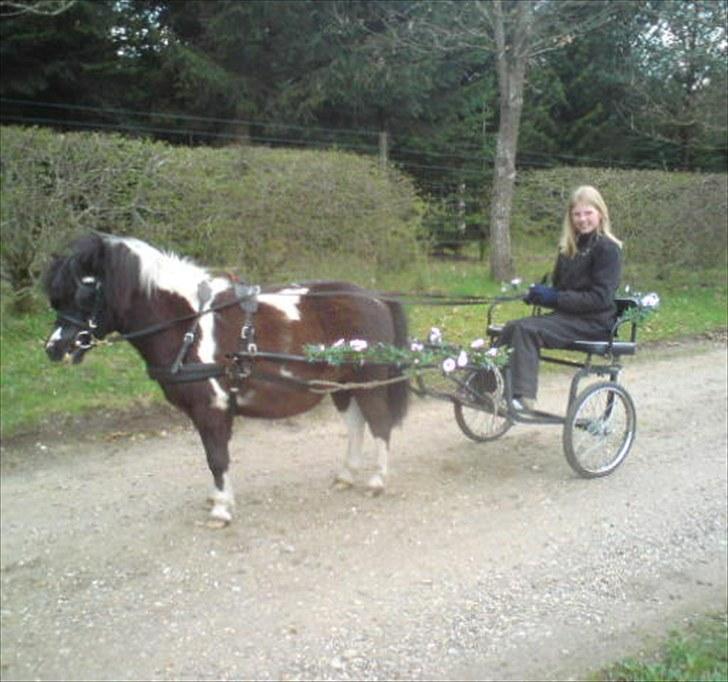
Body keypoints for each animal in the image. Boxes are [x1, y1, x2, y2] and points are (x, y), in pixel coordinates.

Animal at [44, 231, 410, 524]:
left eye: (85, 292)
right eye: (56, 297)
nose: (54, 348)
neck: (186, 325)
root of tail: (375, 297)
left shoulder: (211, 407)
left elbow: (216, 457)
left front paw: (221, 508)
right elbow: (214, 456)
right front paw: (218, 497)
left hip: (369, 381)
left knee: (379, 424)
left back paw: (378, 480)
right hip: (342, 384)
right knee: (356, 425)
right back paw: (346, 475)